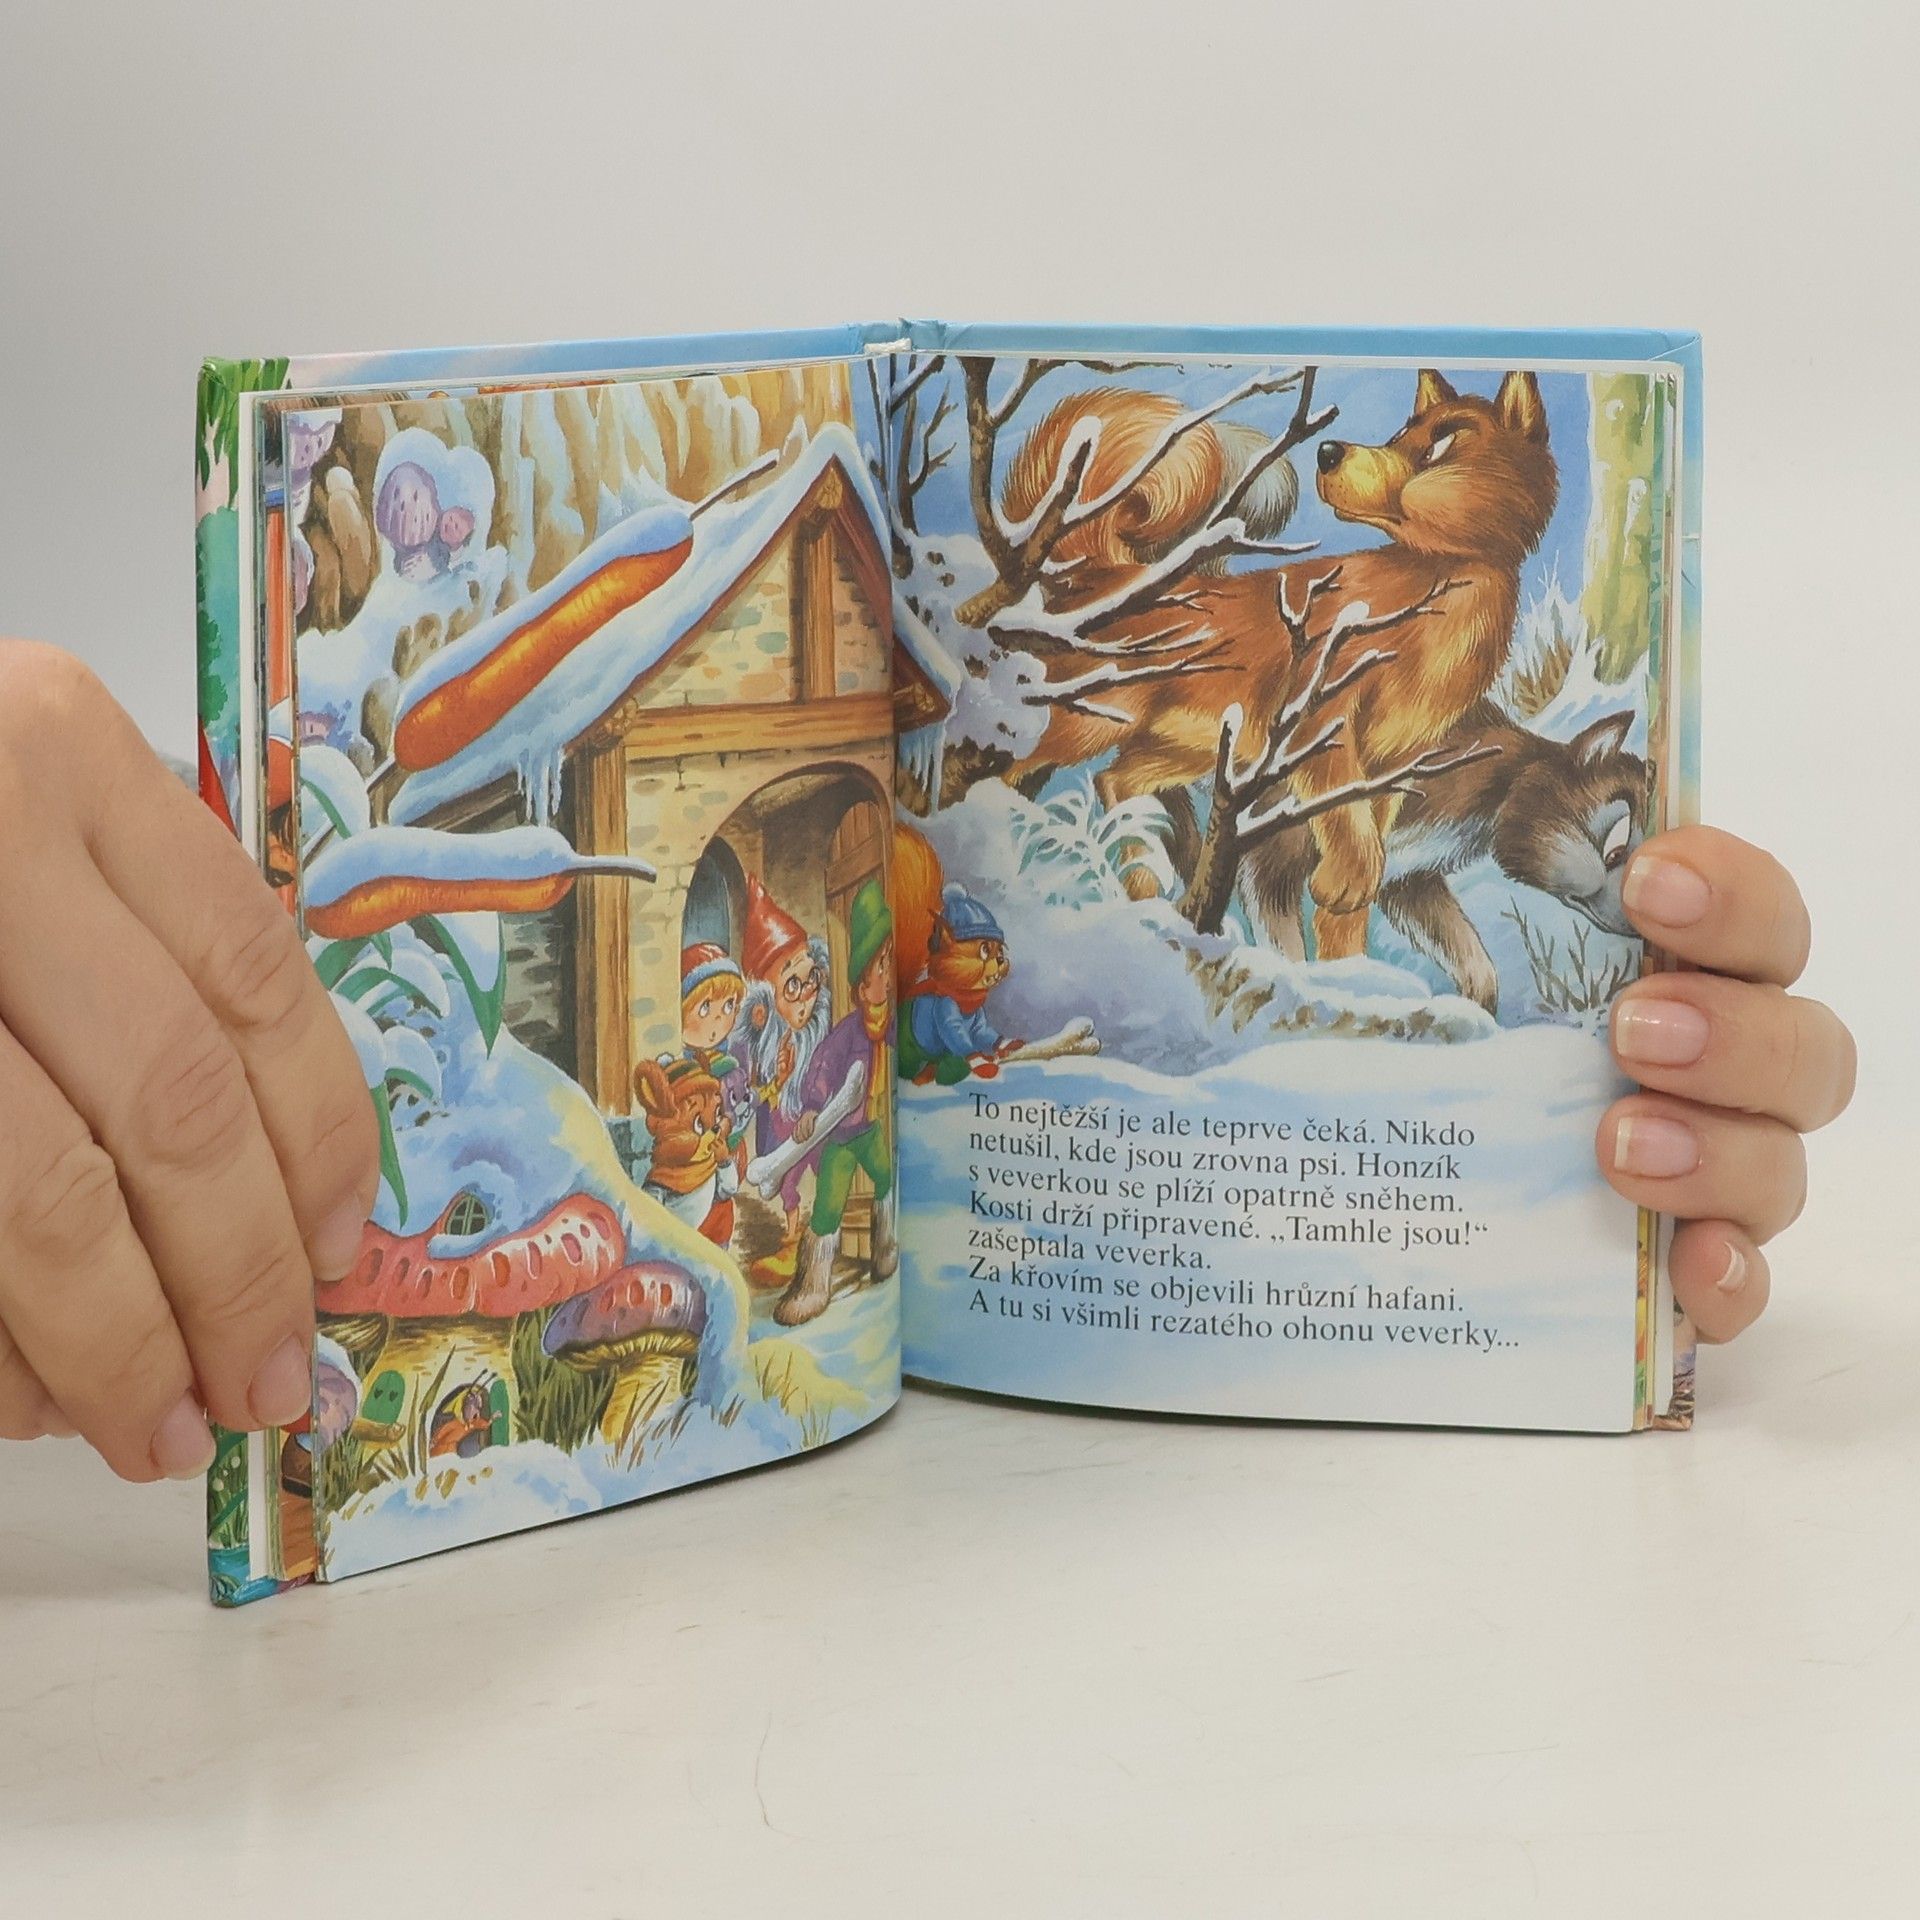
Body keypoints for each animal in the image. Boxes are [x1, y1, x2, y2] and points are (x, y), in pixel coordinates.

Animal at [894, 823, 1023, 1086]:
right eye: (984, 949)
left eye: (999, 948)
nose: (1001, 959)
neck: (965, 997)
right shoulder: (945, 1011)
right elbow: (958, 1037)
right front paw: (981, 1062)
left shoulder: (979, 1020)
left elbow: (987, 1033)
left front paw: (1005, 1044)